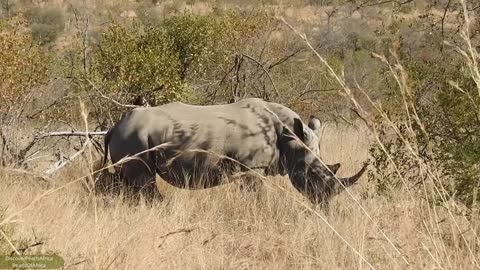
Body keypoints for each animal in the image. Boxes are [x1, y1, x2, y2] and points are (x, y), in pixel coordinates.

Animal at [100, 98, 364, 204]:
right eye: (314, 174)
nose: (324, 204)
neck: (289, 135)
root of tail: (114, 127)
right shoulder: (253, 167)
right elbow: (255, 195)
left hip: (132, 137)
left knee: (126, 183)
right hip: (134, 138)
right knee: (143, 182)